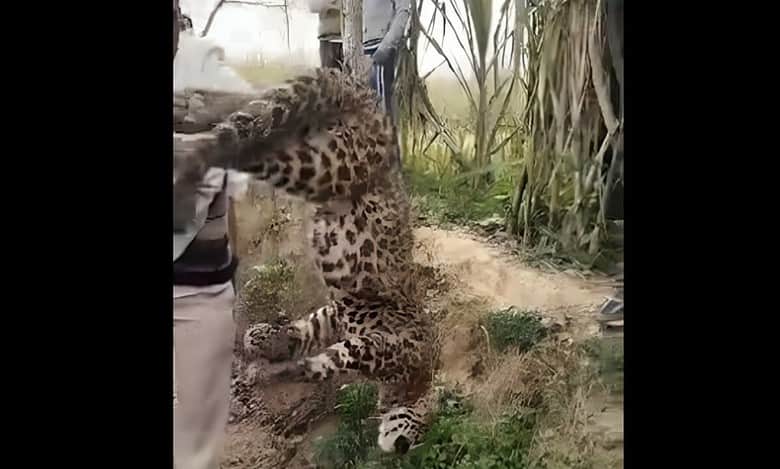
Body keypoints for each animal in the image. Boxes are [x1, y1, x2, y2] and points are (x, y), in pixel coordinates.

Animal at [173, 67, 436, 454]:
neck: (413, 383)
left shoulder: (338, 317)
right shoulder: (382, 345)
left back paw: (189, 117)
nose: (399, 448)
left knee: (248, 121)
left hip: (307, 141)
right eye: (416, 435)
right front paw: (276, 367)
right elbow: (329, 359)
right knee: (252, 147)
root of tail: (366, 96)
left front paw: (269, 342)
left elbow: (308, 333)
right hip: (329, 164)